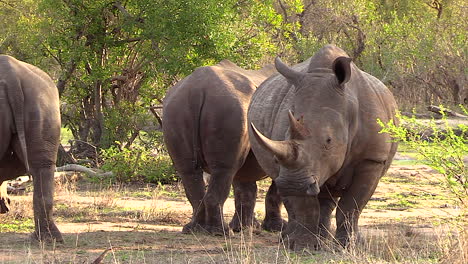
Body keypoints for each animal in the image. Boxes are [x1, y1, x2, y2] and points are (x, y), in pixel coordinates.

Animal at [163, 60, 284, 234]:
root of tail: (198, 89)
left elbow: (245, 188)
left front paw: (246, 228)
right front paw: (276, 228)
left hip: (176, 108)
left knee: (189, 170)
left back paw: (195, 229)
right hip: (228, 107)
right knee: (225, 169)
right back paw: (221, 232)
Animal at [249, 45, 398, 250]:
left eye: (329, 140)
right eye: (285, 135)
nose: (292, 184)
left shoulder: (372, 158)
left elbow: (352, 204)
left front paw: (347, 247)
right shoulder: (293, 163)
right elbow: (305, 205)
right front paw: (301, 246)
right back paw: (291, 239)